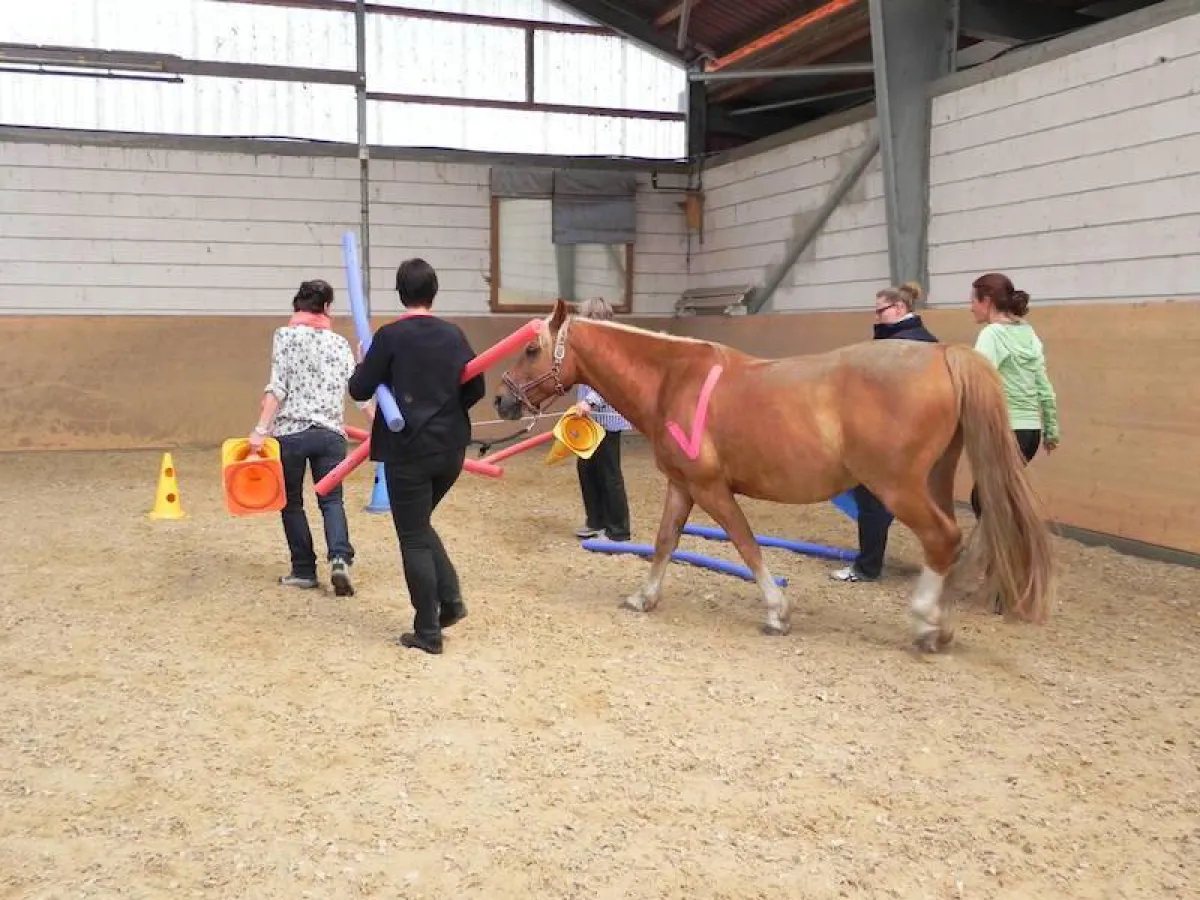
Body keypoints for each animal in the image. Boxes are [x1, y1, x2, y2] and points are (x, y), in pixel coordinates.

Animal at [495, 298, 1055, 651]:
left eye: (531, 349)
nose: (502, 401)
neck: (674, 379)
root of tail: (943, 355)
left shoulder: (711, 488)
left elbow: (746, 544)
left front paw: (776, 611)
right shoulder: (682, 487)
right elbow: (664, 542)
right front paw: (644, 597)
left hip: (898, 488)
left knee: (943, 537)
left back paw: (925, 622)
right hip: (933, 480)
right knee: (955, 540)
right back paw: (941, 620)